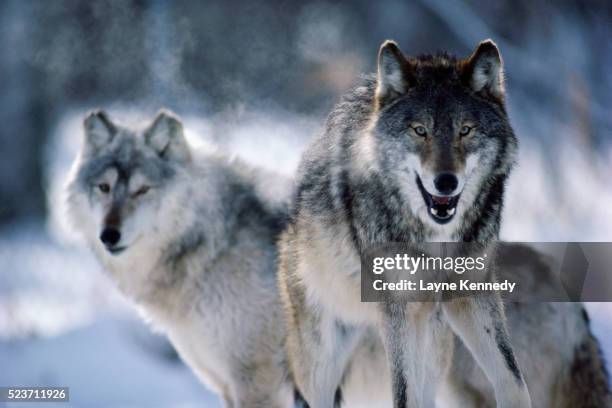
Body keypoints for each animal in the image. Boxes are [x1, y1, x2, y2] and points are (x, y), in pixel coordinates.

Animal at [65, 109, 296, 408]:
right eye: (104, 187)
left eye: (142, 190)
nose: (109, 235)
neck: (214, 245)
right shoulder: (224, 383)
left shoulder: (258, 382)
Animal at [278, 39, 532, 408]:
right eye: (420, 131)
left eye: (465, 130)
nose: (445, 182)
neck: (437, 238)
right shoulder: (395, 305)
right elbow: (403, 393)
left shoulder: (472, 291)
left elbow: (513, 379)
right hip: (321, 359)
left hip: (432, 343)